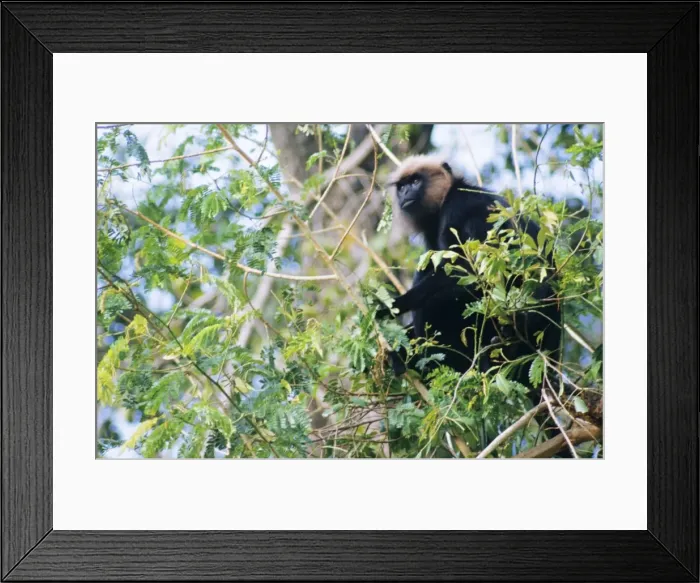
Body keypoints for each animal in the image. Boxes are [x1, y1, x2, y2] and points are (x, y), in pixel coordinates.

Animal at [376, 155, 561, 400]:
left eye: (415, 181)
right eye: (402, 186)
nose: (406, 192)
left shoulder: (464, 207)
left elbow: (478, 273)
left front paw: (393, 305)